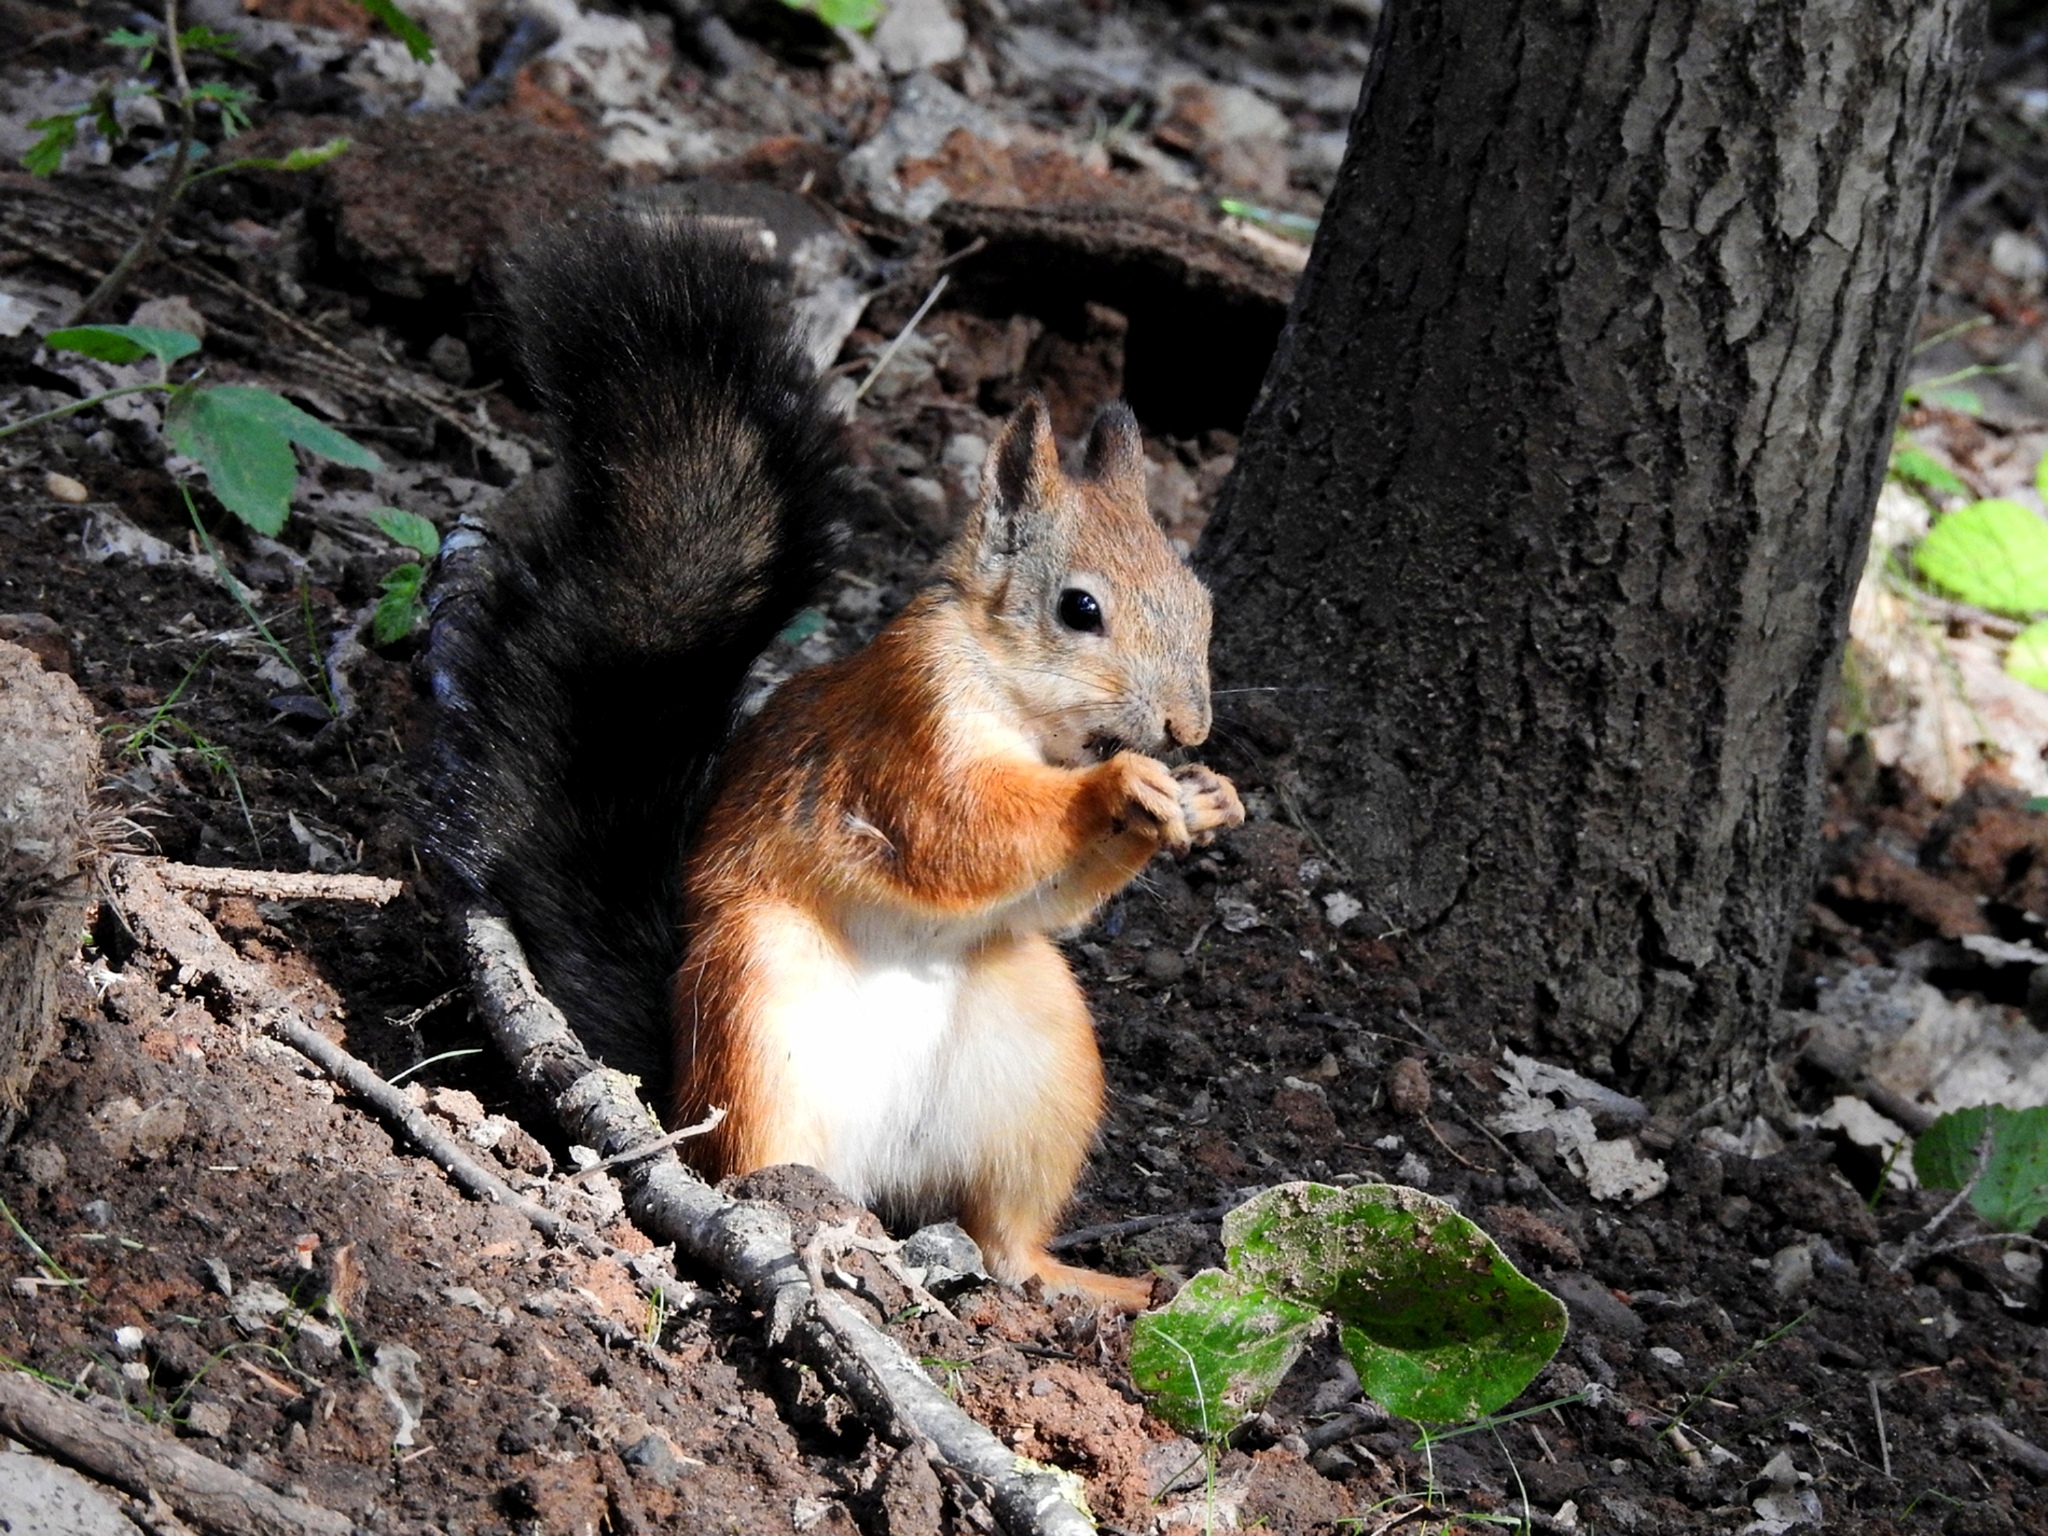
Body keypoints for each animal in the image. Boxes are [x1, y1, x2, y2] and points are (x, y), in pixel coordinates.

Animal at [423, 214, 1236, 1310]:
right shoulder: (904, 733)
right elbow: (956, 832)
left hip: (1040, 1056)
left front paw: (1207, 798)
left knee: (1004, 1240)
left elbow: (1046, 896)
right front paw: (1123, 786)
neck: (1021, 712)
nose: (1189, 729)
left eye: (1200, 602)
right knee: (749, 1159)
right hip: (758, 1004)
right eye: (1080, 609)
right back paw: (802, 1214)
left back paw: (1085, 1284)